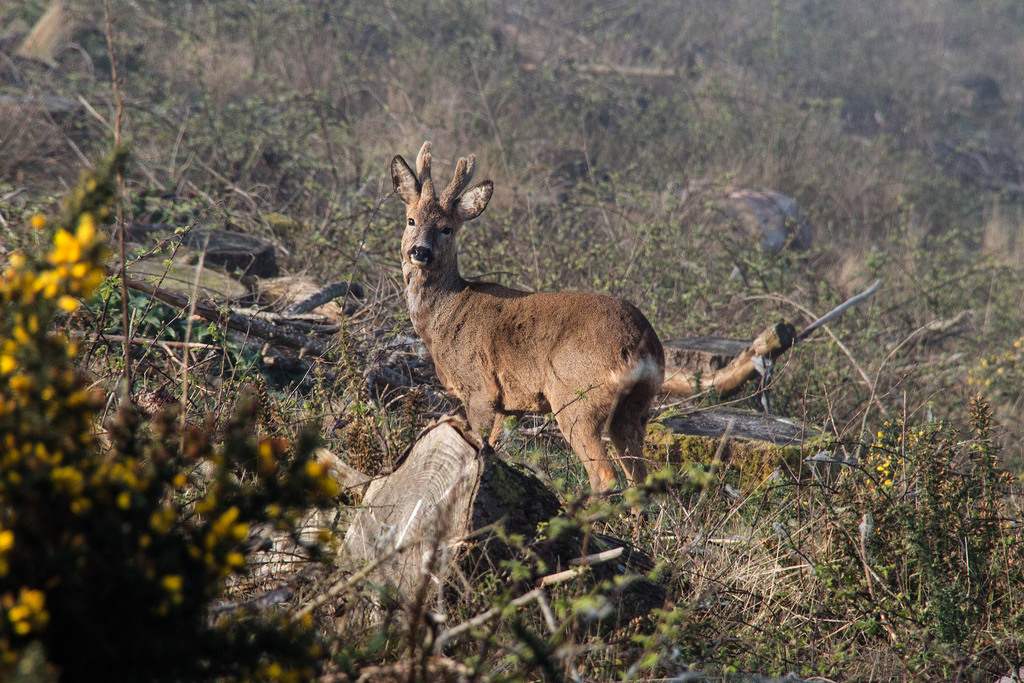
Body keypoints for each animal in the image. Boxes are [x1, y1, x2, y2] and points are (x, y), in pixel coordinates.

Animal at [389, 143, 663, 497]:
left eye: (447, 228)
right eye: (411, 220)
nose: (420, 252)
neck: (443, 318)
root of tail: (643, 346)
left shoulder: (480, 388)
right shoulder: (512, 404)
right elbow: (493, 450)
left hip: (576, 397)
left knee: (605, 475)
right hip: (635, 407)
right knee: (639, 478)